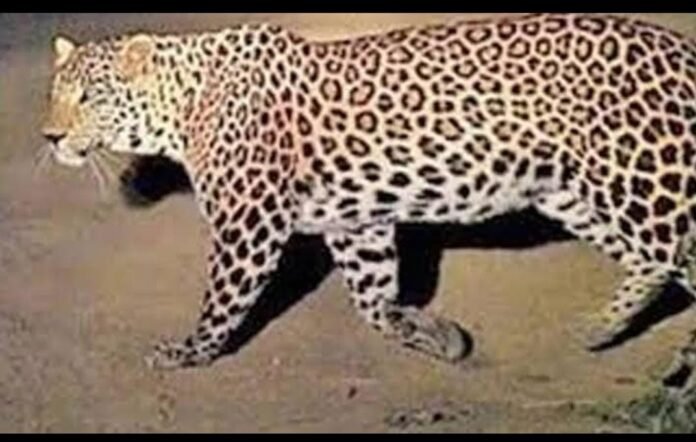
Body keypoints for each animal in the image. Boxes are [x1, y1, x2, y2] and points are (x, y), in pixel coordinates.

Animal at [41, 13, 696, 375]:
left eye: (90, 97)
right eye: (54, 93)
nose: (49, 136)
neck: (181, 106)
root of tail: (679, 48)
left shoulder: (249, 223)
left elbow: (224, 298)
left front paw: (190, 352)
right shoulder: (356, 223)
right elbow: (373, 300)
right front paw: (435, 335)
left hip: (644, 180)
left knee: (679, 252)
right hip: (577, 193)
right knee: (654, 263)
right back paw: (600, 329)